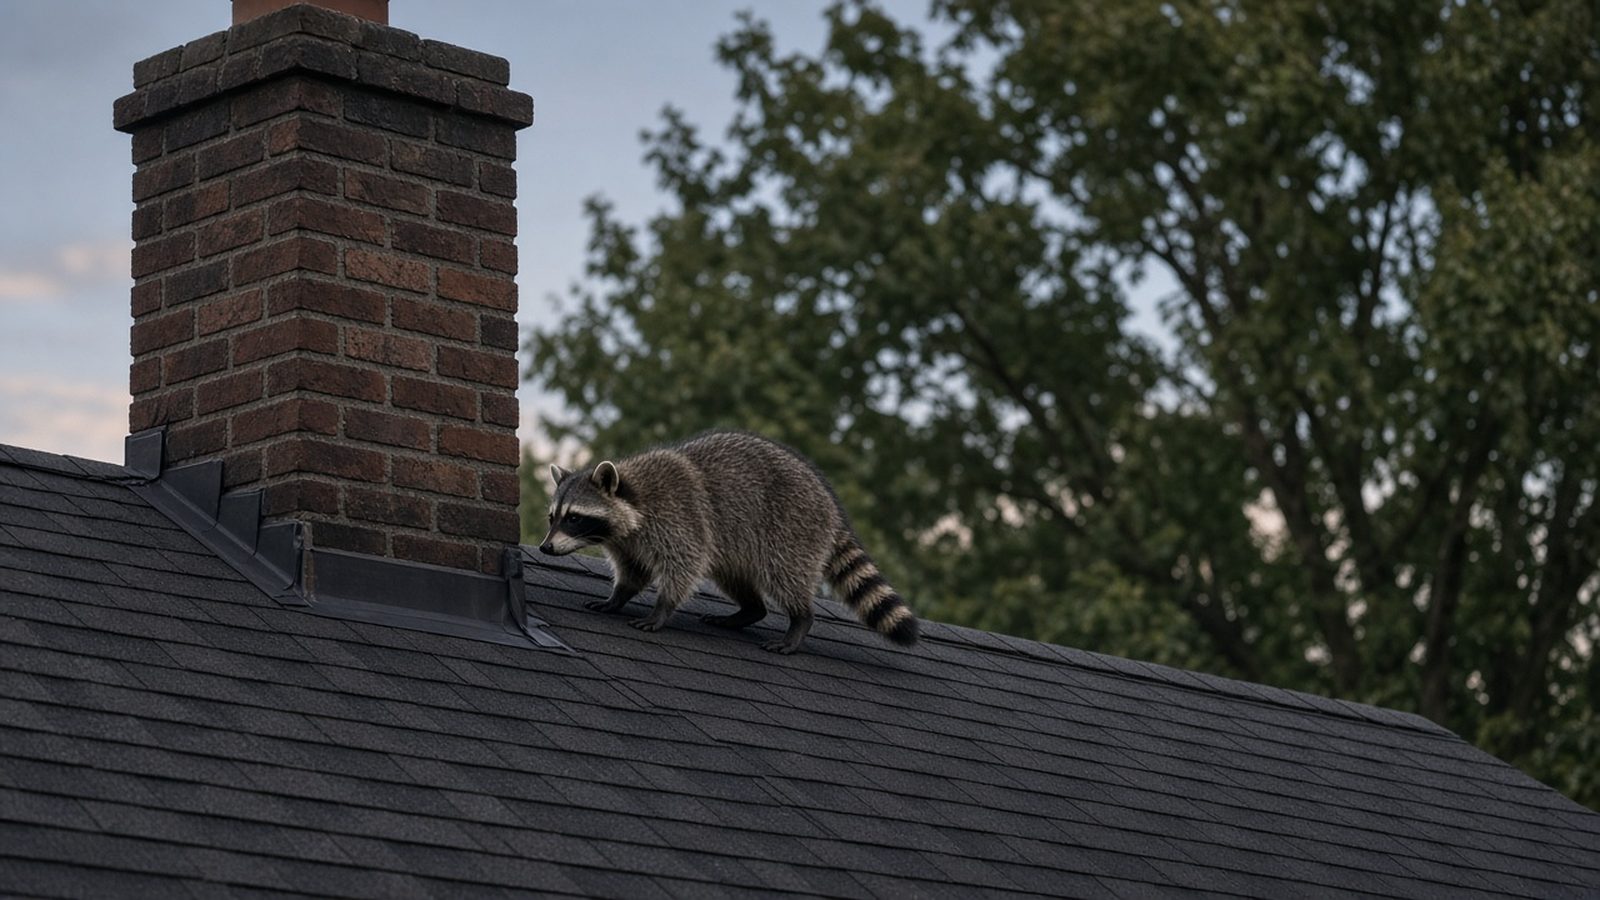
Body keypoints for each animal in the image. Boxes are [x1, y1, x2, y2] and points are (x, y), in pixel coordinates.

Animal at [537, 430, 918, 654]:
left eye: (574, 518)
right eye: (552, 517)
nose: (545, 547)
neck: (633, 500)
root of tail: (832, 506)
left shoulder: (679, 518)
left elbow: (685, 565)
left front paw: (662, 608)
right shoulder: (628, 542)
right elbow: (633, 572)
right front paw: (617, 597)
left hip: (792, 530)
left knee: (784, 574)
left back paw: (799, 621)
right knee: (733, 577)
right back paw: (749, 610)